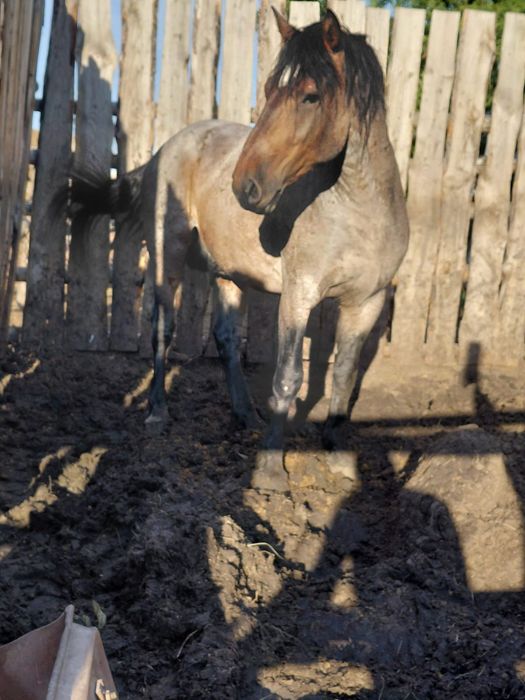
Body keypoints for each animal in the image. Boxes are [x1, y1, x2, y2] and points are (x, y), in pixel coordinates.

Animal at [70, 9, 409, 490]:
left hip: (228, 273)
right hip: (168, 260)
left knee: (227, 339)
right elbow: (288, 378)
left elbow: (343, 375)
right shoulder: (299, 297)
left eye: (310, 96)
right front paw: (269, 469)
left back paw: (244, 413)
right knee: (162, 330)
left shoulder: (366, 303)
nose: (244, 186)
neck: (358, 213)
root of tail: (165, 148)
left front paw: (338, 455)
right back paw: (158, 412)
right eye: (267, 89)